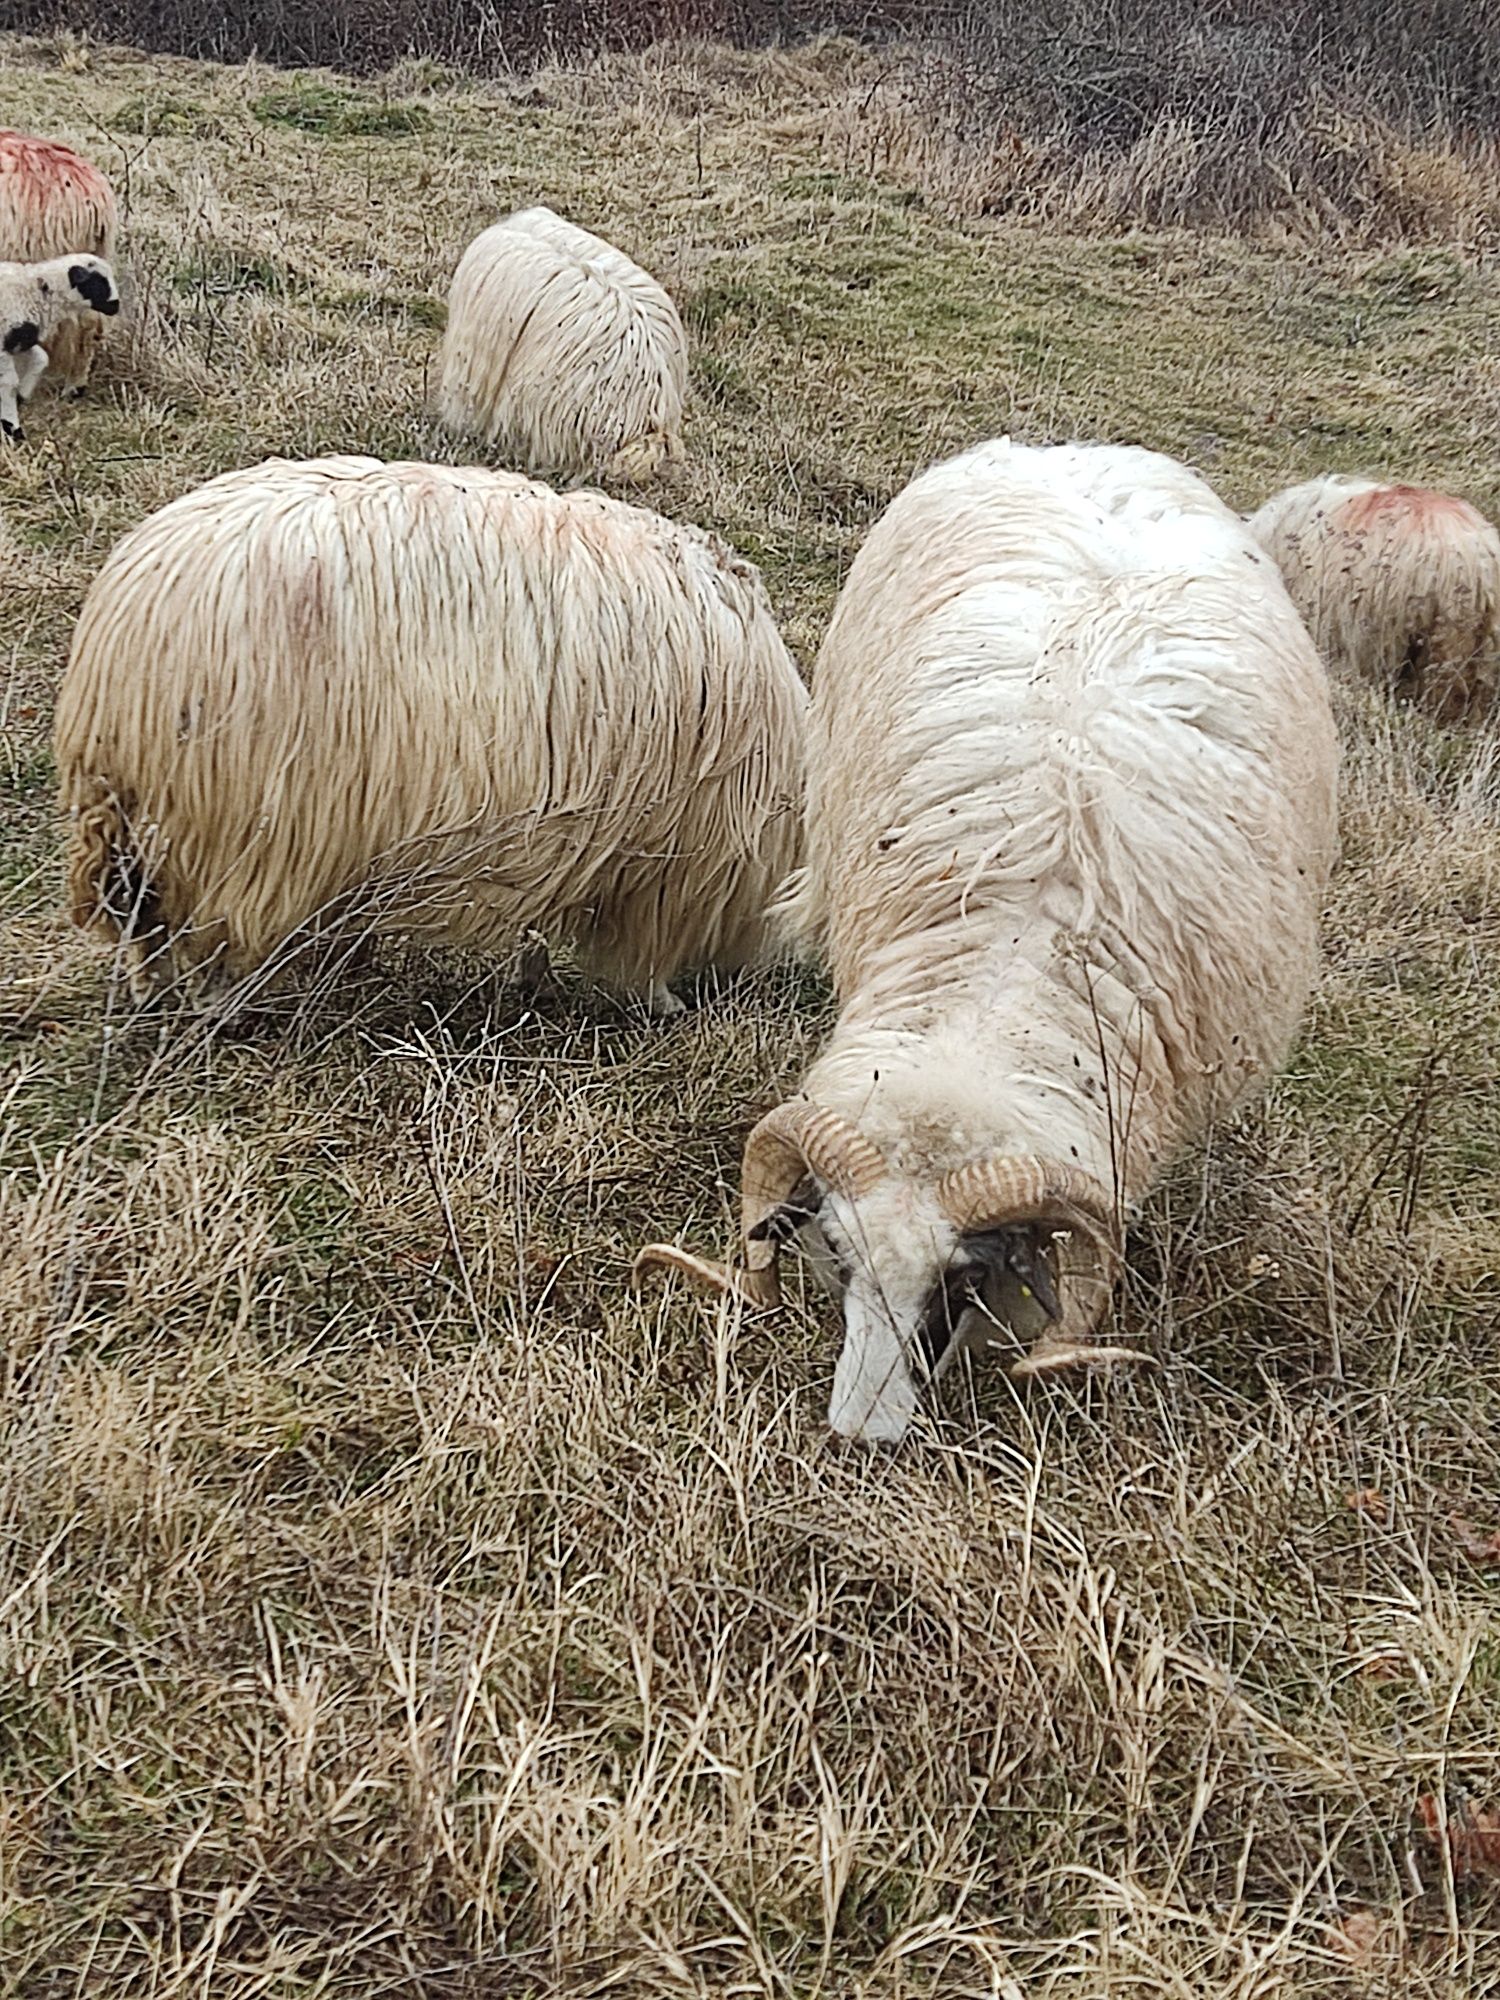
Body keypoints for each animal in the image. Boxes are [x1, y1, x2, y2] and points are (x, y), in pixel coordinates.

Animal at [0, 254, 120, 438]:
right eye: (98, 281)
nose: (116, 306)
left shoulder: (21, 342)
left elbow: (41, 359)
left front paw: (22, 395)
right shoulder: (4, 345)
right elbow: (9, 383)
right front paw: (12, 427)